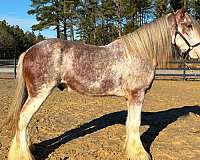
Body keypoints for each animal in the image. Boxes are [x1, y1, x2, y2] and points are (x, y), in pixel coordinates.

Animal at [4, 8, 200, 160]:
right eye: (189, 26)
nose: (198, 53)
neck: (140, 52)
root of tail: (28, 51)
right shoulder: (137, 94)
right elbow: (135, 124)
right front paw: (140, 154)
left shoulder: (131, 98)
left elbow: (130, 123)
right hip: (39, 93)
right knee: (23, 119)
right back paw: (23, 155)